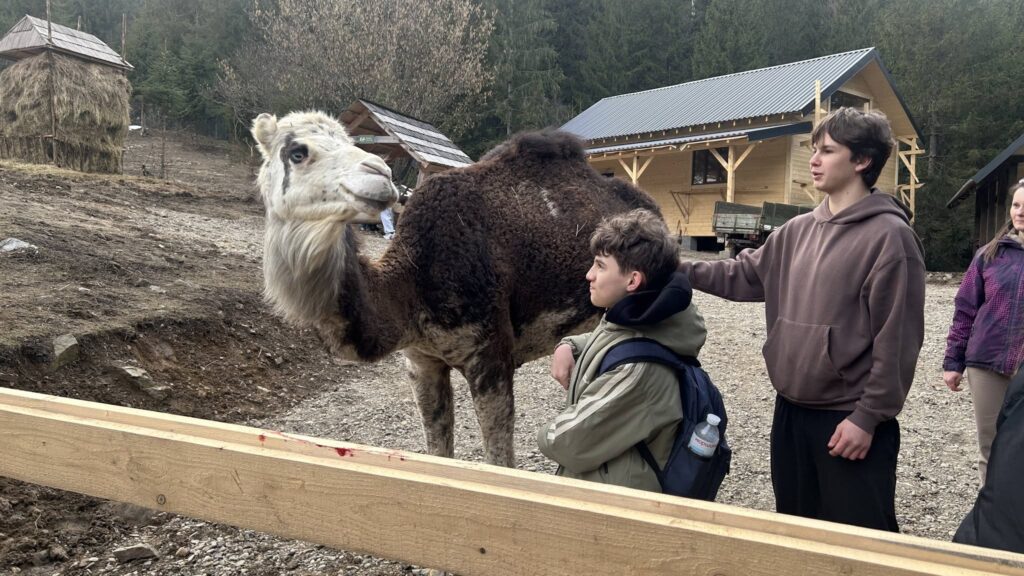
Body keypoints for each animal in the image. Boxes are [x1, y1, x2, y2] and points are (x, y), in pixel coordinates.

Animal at [252, 110, 661, 467]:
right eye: (297, 151)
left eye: (351, 141)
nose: (380, 173)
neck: (411, 286)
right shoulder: (421, 361)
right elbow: (439, 451)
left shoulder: (490, 356)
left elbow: (499, 461)